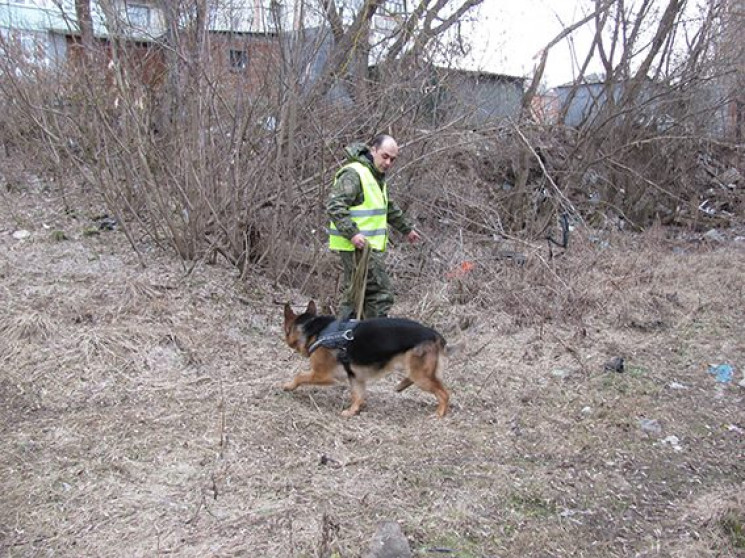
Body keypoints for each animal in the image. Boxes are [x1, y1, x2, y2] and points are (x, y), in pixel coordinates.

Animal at [284, 304, 448, 418]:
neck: (313, 330)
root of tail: (434, 334)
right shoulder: (355, 378)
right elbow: (358, 396)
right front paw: (352, 411)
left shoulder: (322, 375)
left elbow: (299, 376)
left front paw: (288, 386)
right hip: (416, 371)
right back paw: (402, 386)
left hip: (419, 375)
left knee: (444, 393)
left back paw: (439, 413)